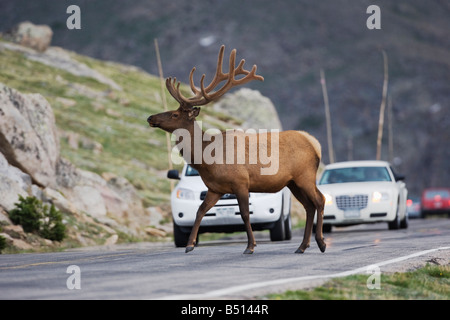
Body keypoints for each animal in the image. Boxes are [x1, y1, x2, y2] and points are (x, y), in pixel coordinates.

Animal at [149, 45, 326, 255]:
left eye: (175, 114)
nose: (150, 117)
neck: (207, 160)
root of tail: (314, 143)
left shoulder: (240, 182)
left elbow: (244, 214)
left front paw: (250, 246)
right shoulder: (215, 188)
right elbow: (200, 211)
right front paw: (189, 245)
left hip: (305, 175)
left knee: (320, 200)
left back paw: (321, 243)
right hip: (292, 182)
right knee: (309, 206)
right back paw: (302, 246)